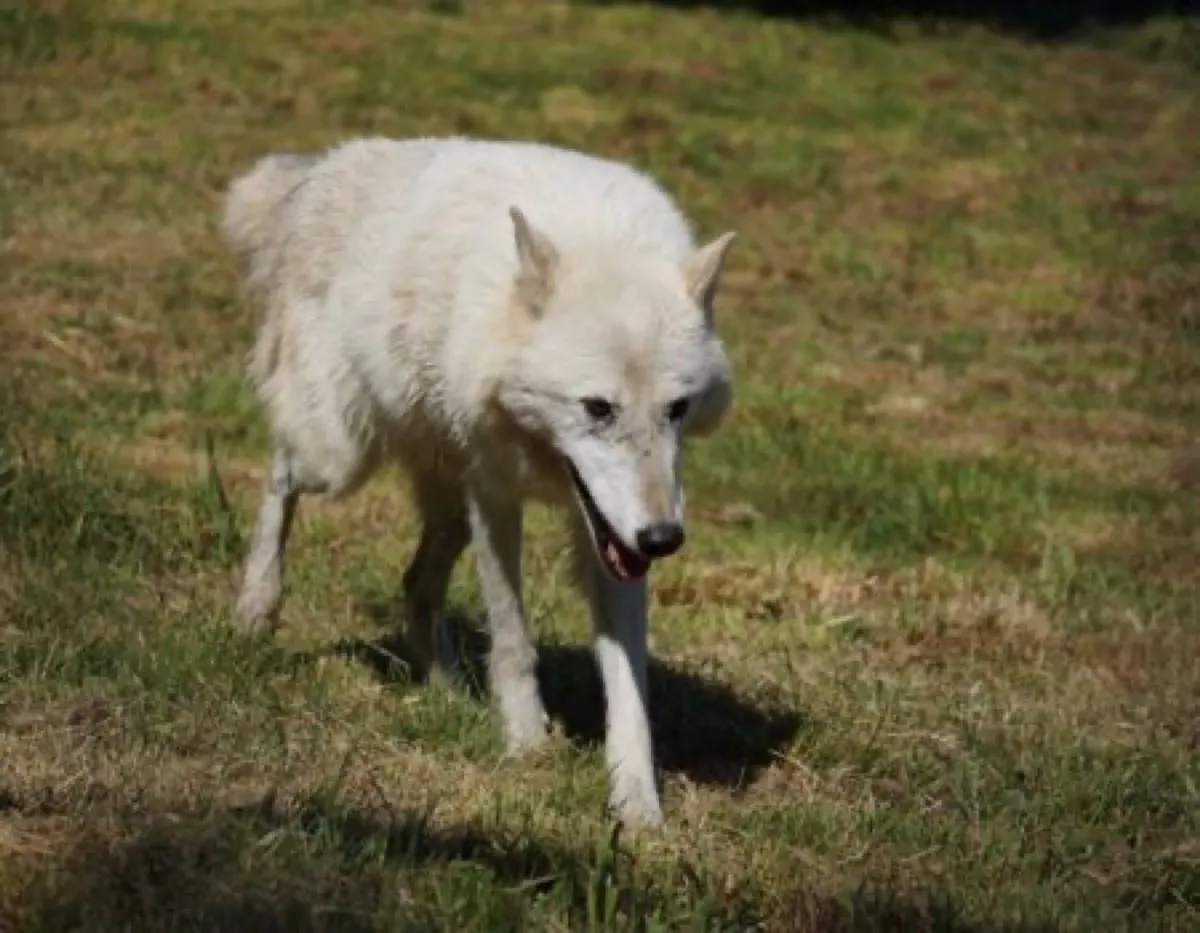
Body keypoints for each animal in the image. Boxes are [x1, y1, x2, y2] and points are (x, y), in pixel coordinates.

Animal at [220, 136, 737, 826]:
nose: (663, 539)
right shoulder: (496, 496)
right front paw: (527, 746)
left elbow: (629, 686)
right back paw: (256, 609)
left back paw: (446, 688)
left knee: (415, 584)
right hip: (338, 457)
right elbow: (514, 639)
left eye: (676, 409)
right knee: (279, 474)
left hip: (448, 504)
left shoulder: (608, 536)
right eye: (597, 408)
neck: (603, 240)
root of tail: (324, 166)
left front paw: (637, 805)